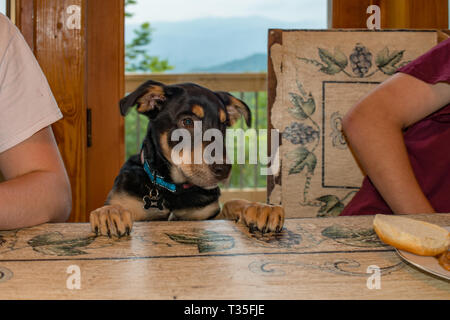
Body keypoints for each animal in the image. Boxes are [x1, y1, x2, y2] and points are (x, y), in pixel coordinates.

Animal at [89, 80, 284, 238]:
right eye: (188, 122)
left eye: (223, 125)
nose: (224, 170)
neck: (173, 190)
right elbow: (117, 207)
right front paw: (110, 212)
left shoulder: (207, 216)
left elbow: (232, 202)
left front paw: (259, 208)